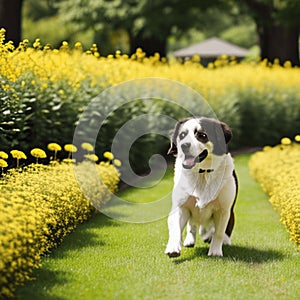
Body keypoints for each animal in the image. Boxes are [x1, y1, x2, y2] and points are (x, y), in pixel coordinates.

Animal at [165, 116, 238, 256]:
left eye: (202, 135)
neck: (202, 173)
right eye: (182, 135)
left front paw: (215, 251)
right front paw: (173, 248)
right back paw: (190, 239)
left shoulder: (223, 210)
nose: (184, 145)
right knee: (192, 225)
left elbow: (219, 233)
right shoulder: (181, 206)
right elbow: (176, 228)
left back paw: (223, 240)